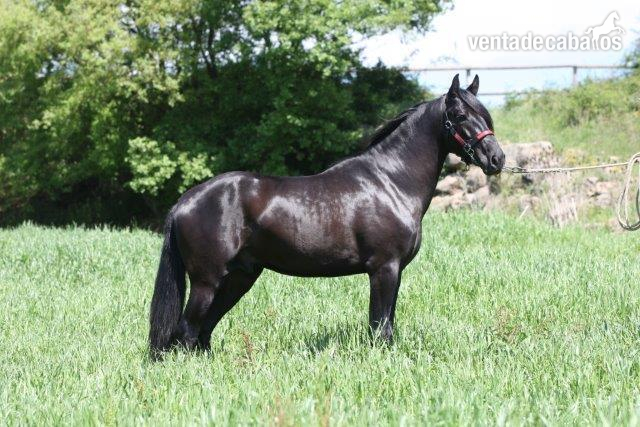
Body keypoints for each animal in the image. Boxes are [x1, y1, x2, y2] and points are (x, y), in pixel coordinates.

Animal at [148, 74, 505, 357]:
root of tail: (184, 203)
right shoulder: (384, 268)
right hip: (207, 281)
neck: (391, 180)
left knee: (202, 332)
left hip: (239, 277)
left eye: (484, 115)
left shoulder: (394, 270)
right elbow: (380, 327)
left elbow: (385, 324)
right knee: (187, 331)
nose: (496, 158)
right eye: (459, 115)